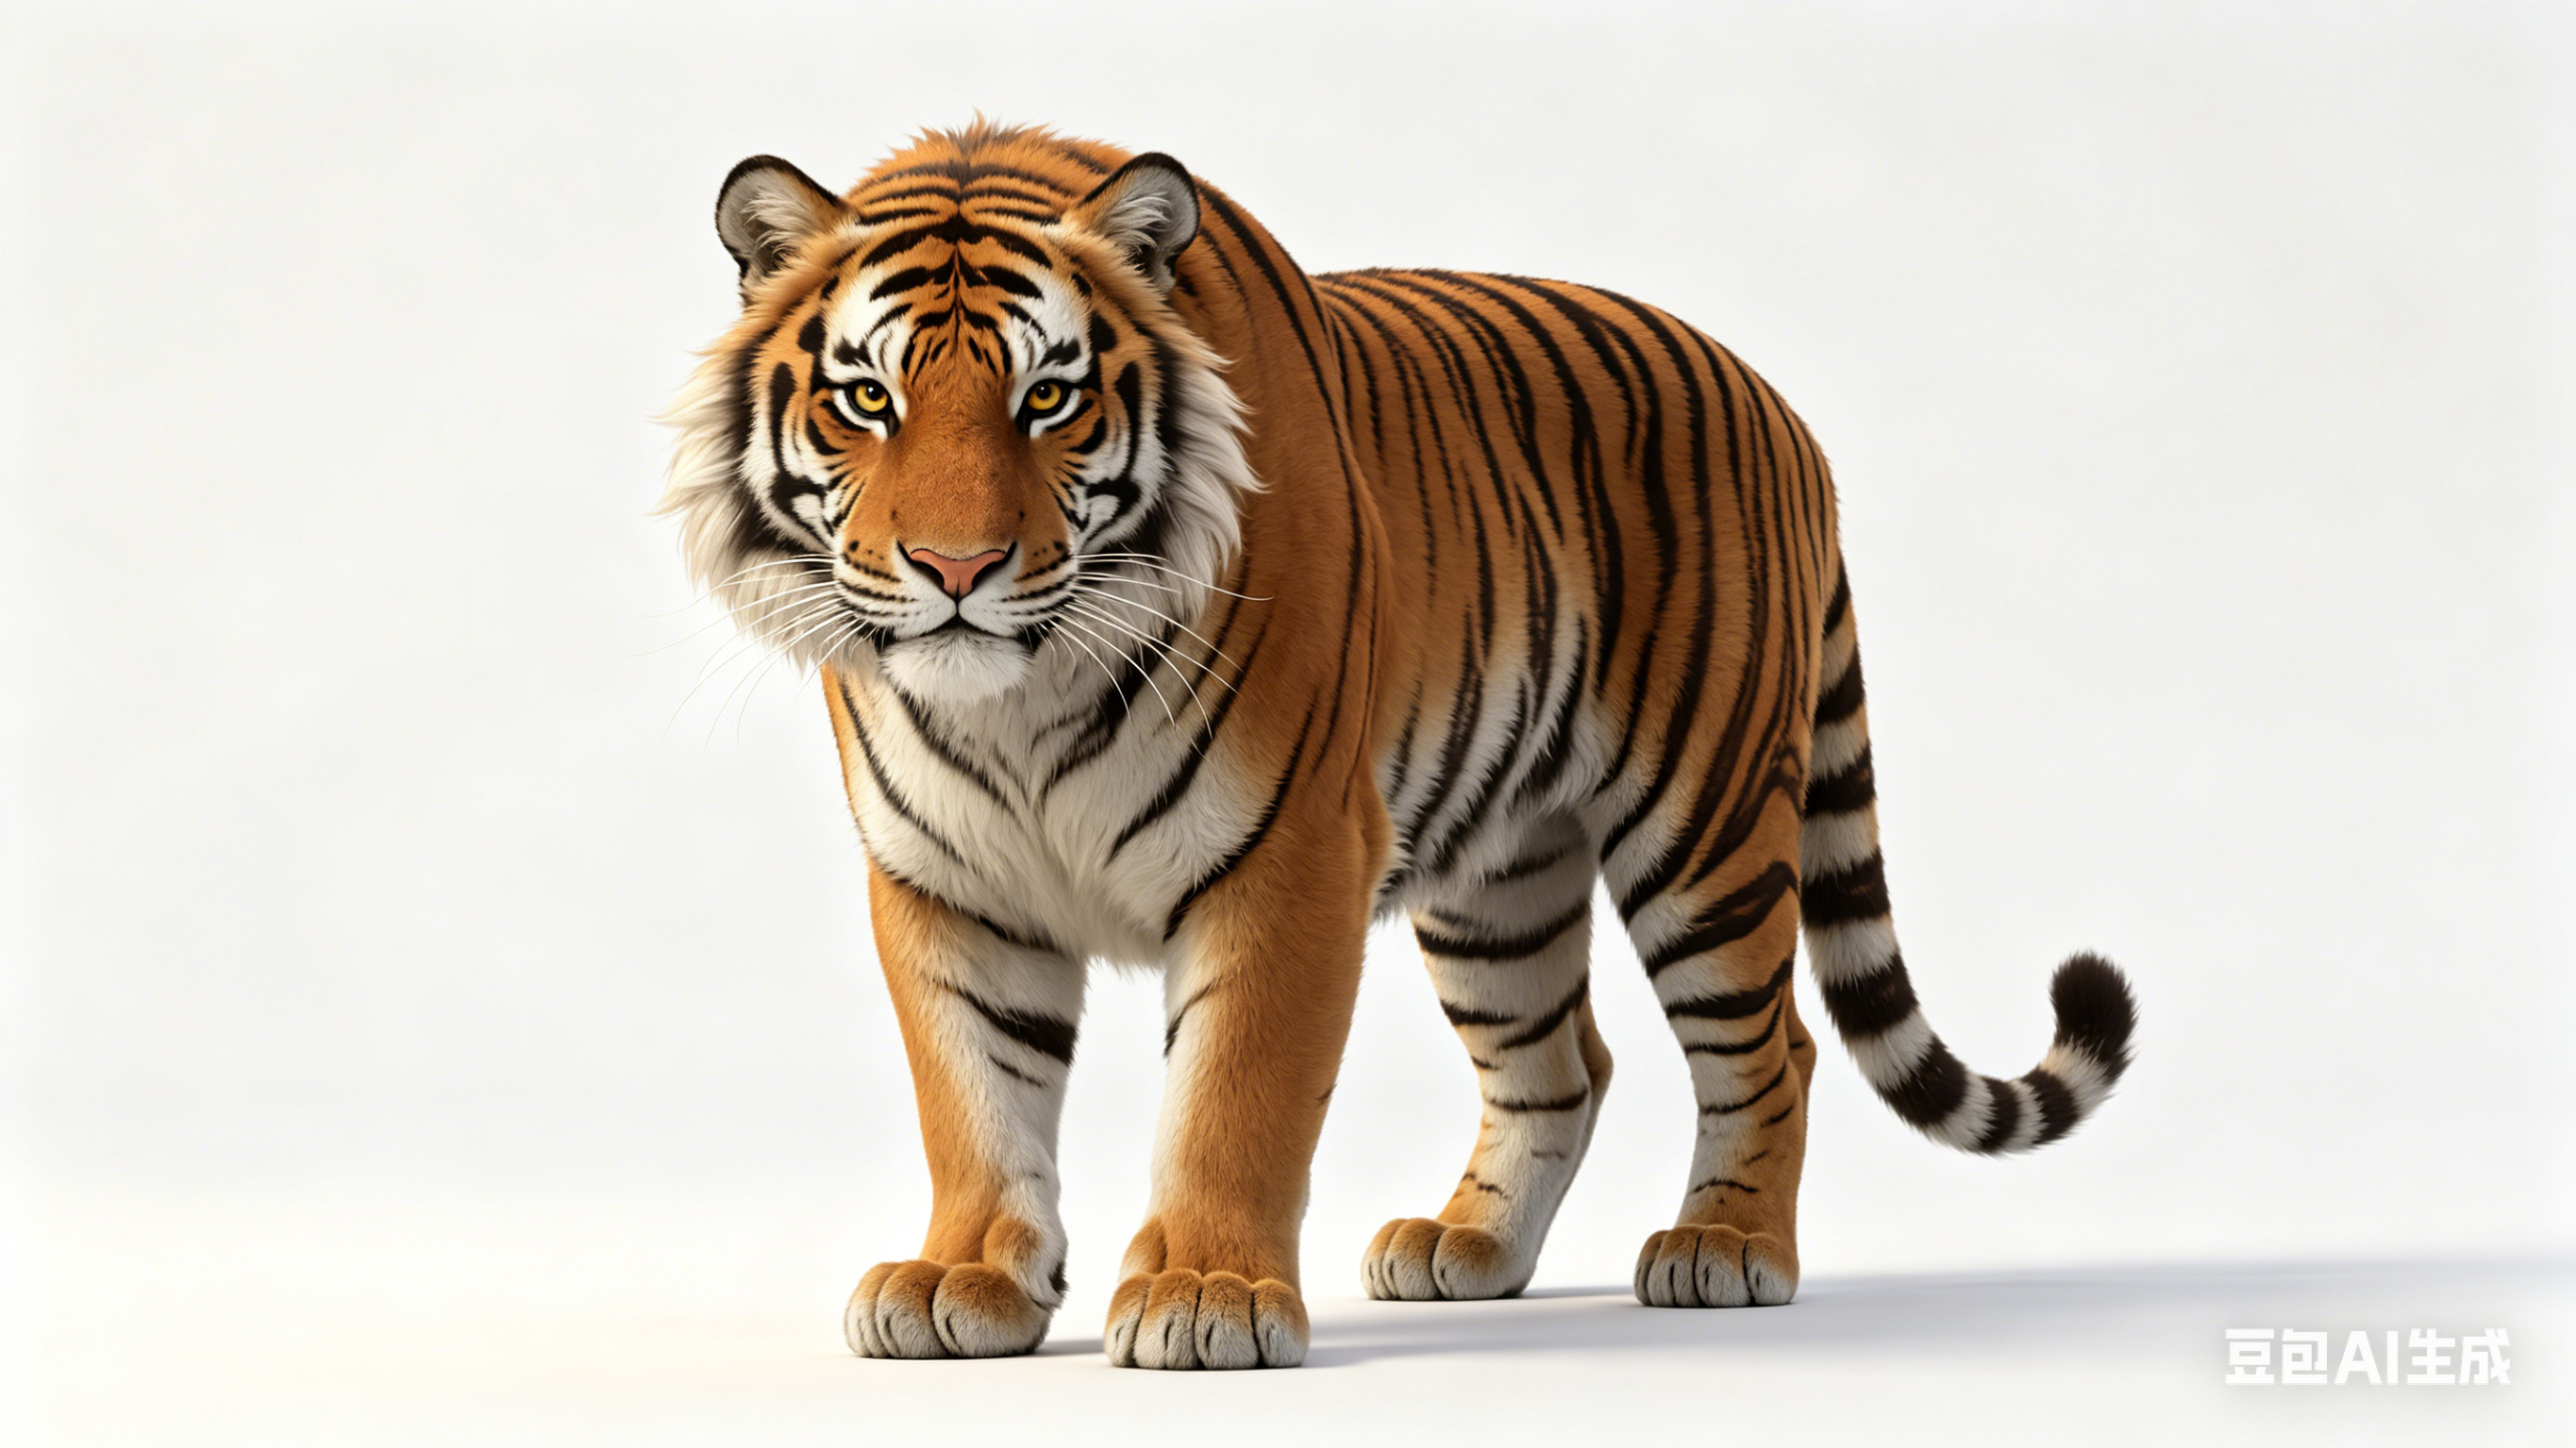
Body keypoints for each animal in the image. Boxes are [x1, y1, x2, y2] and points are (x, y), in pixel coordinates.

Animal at [662, 121, 2137, 1371]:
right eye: (866, 399)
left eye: (1049, 400)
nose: (956, 567)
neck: (1020, 701)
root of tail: (1782, 408)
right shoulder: (947, 882)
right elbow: (973, 1093)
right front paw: (963, 1277)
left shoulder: (1289, 853)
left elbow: (1235, 1095)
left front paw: (1205, 1295)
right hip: (1501, 879)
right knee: (1560, 1063)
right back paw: (1468, 1244)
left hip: (1706, 827)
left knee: (1773, 1046)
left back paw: (1723, 1245)